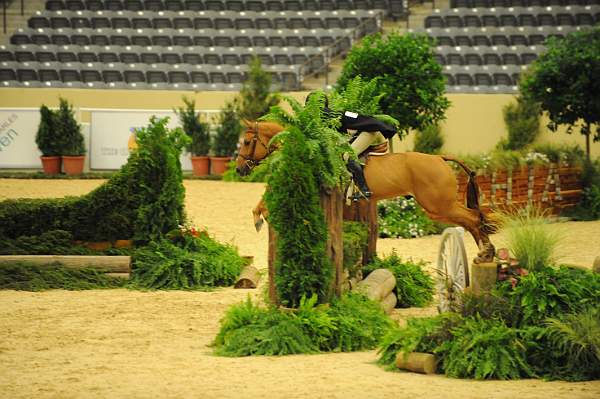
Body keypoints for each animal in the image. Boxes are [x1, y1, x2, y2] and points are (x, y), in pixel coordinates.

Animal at [236, 119, 496, 262]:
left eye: (247, 142)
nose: (239, 169)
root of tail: (440, 158)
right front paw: (259, 216)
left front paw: (262, 217)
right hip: (438, 207)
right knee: (473, 220)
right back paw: (485, 253)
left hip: (438, 205)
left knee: (473, 218)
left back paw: (485, 253)